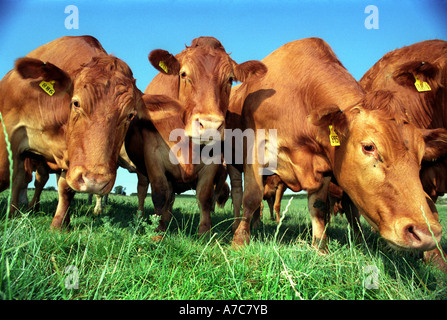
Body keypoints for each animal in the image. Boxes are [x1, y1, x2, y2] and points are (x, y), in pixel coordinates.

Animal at [0, 35, 180, 229]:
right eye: (76, 103)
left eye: (130, 115)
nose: (95, 182)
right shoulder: (10, 134)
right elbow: (8, 176)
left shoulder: (73, 158)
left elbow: (66, 188)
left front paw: (59, 225)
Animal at [124, 36, 268, 234]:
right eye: (184, 74)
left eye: (230, 79)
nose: (210, 125)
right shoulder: (153, 156)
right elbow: (159, 194)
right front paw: (157, 231)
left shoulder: (212, 161)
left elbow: (204, 196)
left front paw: (204, 231)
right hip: (142, 171)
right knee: (143, 190)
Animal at [228, 37, 447, 254]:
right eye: (369, 147)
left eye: (421, 156)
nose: (426, 234)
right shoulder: (254, 150)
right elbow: (252, 197)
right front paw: (240, 240)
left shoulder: (322, 165)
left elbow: (318, 206)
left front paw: (320, 247)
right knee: (238, 193)